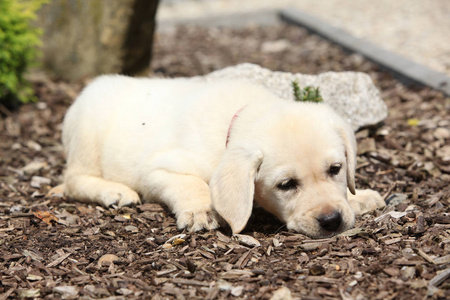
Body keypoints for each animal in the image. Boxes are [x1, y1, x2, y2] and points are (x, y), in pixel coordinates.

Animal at [56, 75, 384, 239]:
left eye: (335, 169)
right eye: (286, 185)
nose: (332, 220)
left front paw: (358, 197)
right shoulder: (156, 169)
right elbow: (192, 184)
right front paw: (201, 210)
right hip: (87, 134)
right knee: (73, 181)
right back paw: (114, 191)